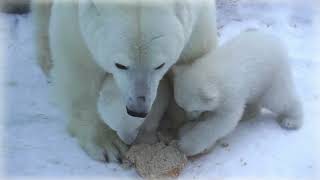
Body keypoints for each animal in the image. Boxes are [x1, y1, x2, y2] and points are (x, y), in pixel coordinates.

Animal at [32, 0, 218, 162]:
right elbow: (79, 64)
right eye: (120, 65)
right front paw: (107, 144)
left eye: (160, 65)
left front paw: (179, 125)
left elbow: (194, 53)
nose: (137, 110)